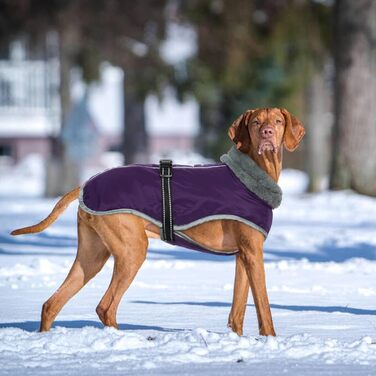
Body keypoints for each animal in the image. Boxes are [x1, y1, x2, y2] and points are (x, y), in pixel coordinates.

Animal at [11, 107, 306, 336]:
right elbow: (264, 307)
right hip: (132, 250)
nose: (267, 133)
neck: (254, 175)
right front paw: (271, 341)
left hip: (91, 256)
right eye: (256, 122)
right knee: (105, 306)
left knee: (51, 304)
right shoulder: (254, 254)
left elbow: (237, 310)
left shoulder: (243, 255)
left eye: (277, 121)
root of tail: (85, 185)